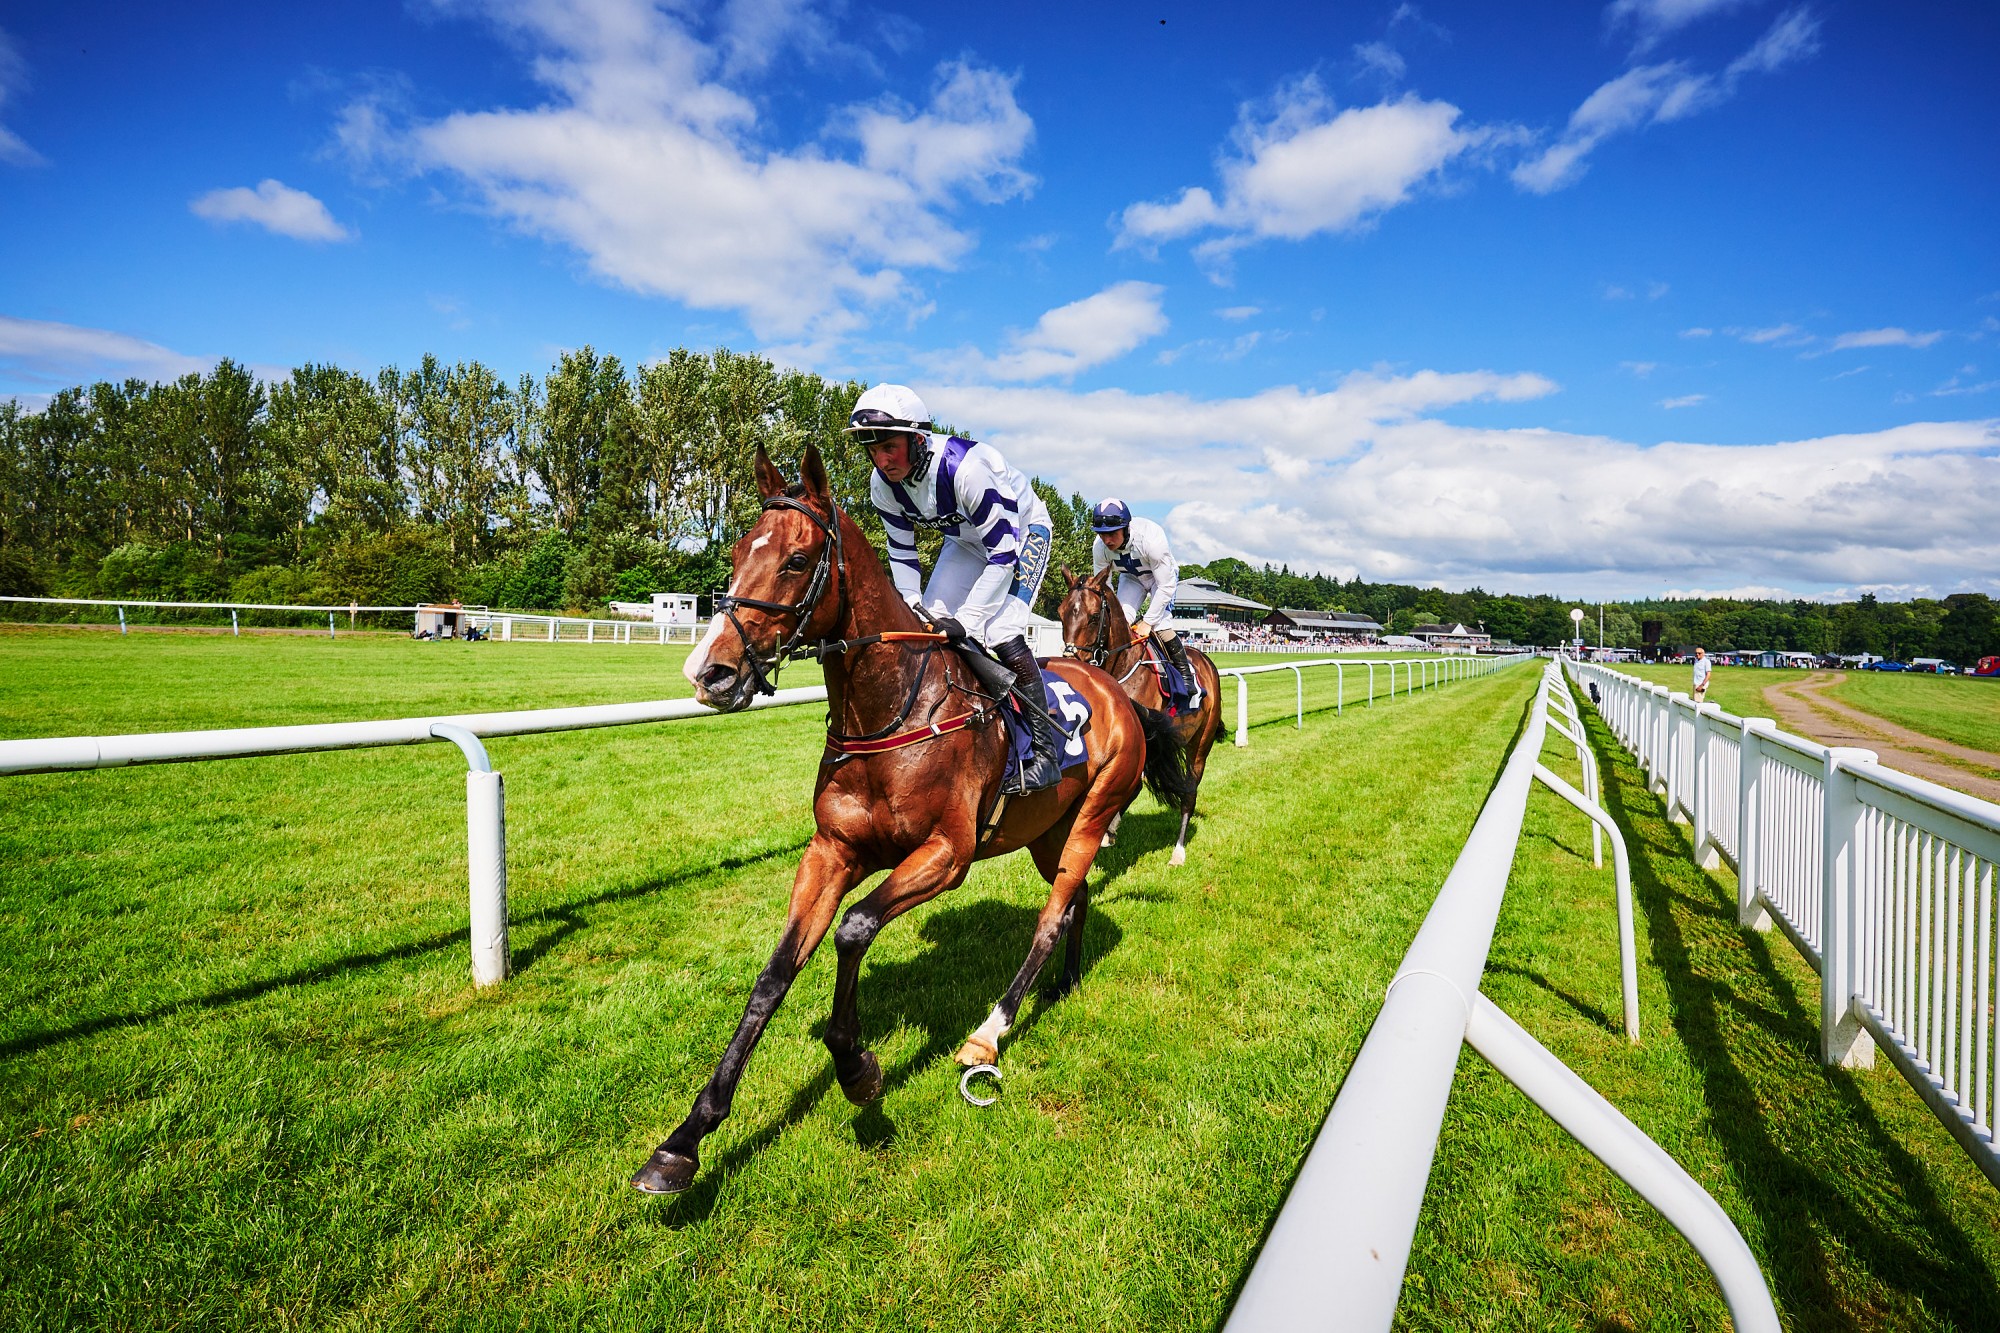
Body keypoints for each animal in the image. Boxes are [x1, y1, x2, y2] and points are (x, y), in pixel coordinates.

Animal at [632, 438, 1176, 1192]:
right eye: (739, 550)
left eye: (797, 559)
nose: (709, 673)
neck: (890, 710)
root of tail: (1119, 693)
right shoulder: (831, 849)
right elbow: (774, 974)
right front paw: (684, 1139)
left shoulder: (946, 854)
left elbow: (854, 928)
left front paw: (856, 1066)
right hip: (1046, 831)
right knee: (1076, 898)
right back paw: (1065, 983)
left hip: (1094, 813)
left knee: (1049, 915)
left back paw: (991, 1030)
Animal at [1056, 564, 1224, 868]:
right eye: (1061, 613)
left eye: (1094, 616)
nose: (1071, 662)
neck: (1123, 669)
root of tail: (1206, 661)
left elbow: (1132, 784)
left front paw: (1108, 828)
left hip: (1200, 744)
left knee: (1189, 790)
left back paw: (1178, 850)